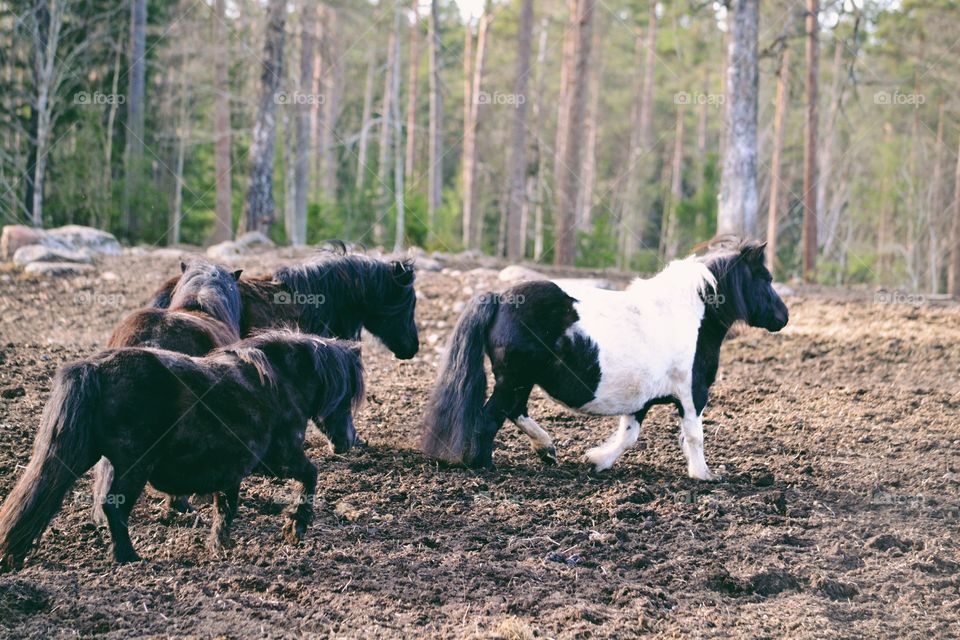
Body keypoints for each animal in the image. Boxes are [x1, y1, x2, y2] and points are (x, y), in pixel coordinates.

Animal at [0, 330, 364, 569]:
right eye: (347, 393)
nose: (347, 440)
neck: (277, 380)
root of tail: (97, 368)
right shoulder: (282, 460)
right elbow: (311, 476)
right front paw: (295, 528)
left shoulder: (231, 469)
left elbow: (226, 508)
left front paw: (221, 547)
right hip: (134, 467)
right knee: (112, 506)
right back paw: (128, 557)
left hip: (81, 457)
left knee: (41, 494)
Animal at [421, 239, 789, 479]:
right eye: (767, 279)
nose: (783, 317)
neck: (688, 315)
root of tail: (499, 298)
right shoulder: (692, 395)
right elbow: (694, 434)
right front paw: (704, 475)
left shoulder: (642, 401)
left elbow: (628, 435)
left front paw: (597, 460)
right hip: (514, 380)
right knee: (490, 419)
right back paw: (484, 463)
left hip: (518, 383)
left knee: (515, 412)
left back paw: (547, 450)